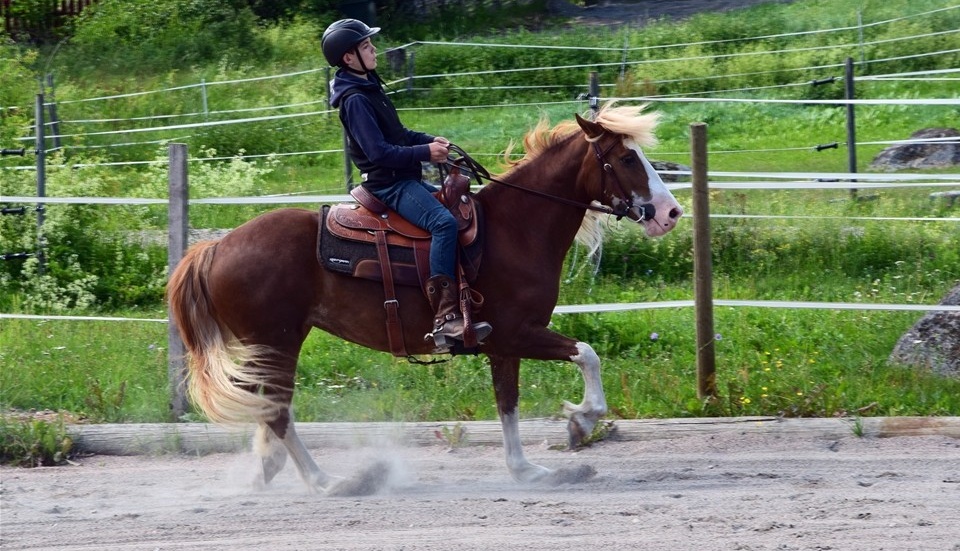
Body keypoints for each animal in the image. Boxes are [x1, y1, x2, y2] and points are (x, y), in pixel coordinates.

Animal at [171, 103, 684, 492]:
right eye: (626, 160)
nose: (671, 212)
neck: (514, 229)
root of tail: (215, 247)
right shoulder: (519, 333)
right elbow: (587, 354)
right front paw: (581, 421)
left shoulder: (501, 344)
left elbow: (508, 404)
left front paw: (529, 470)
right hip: (278, 343)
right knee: (278, 413)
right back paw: (331, 482)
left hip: (270, 347)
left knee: (271, 414)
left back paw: (271, 469)